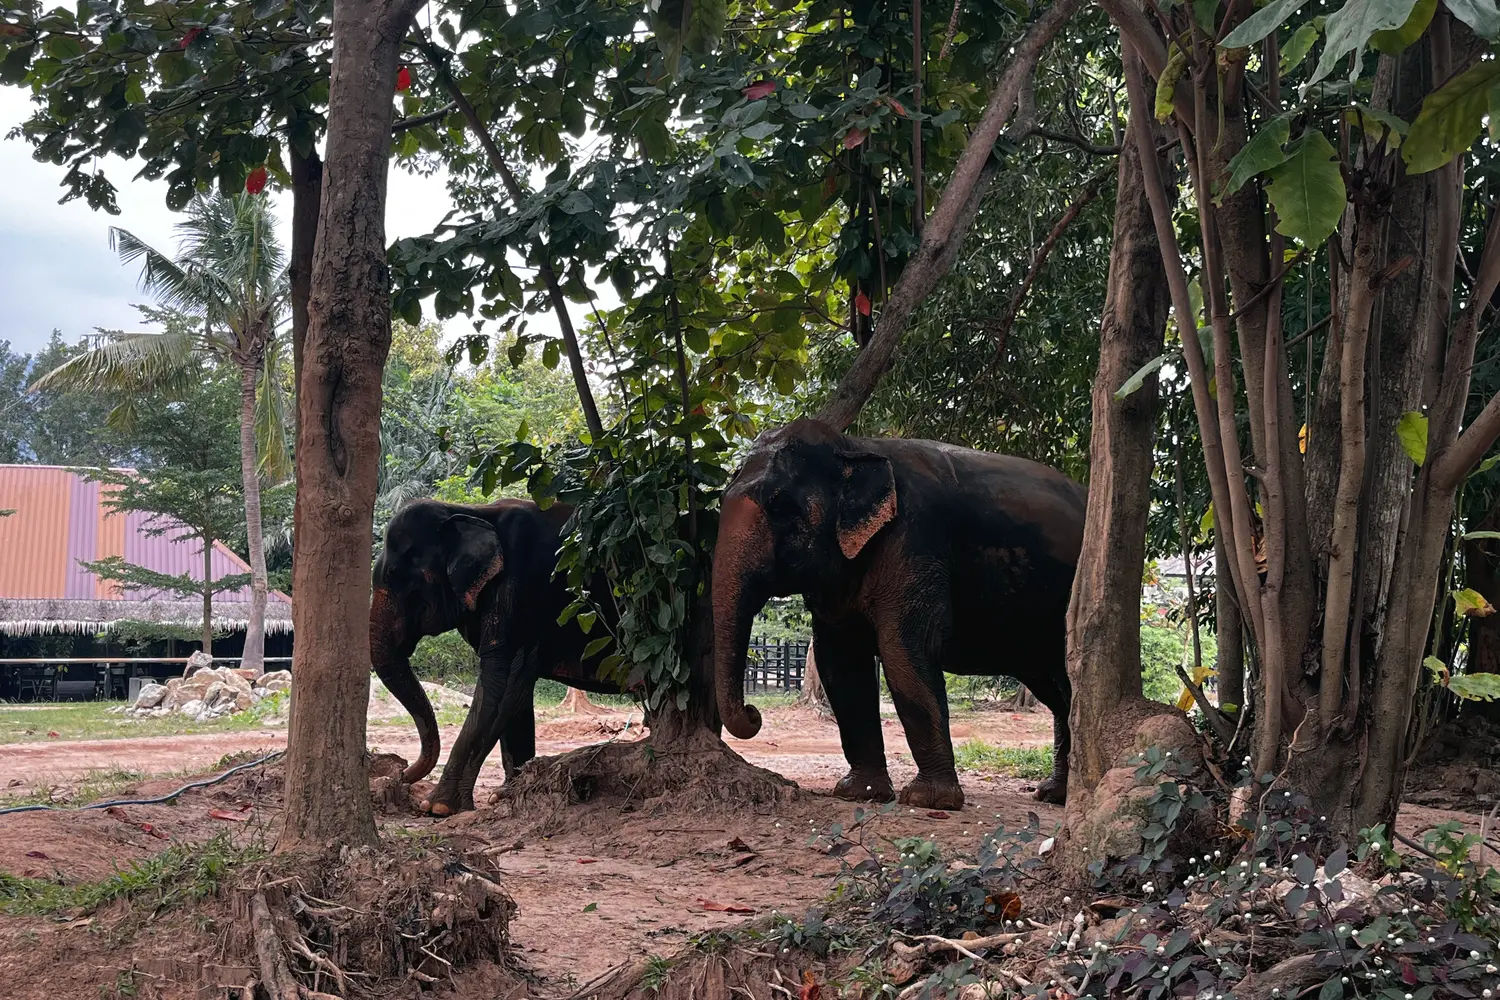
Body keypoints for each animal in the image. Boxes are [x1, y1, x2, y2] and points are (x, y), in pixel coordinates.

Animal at [370, 498, 622, 815]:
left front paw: (438, 806)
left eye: (396, 576)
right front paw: (505, 795)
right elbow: (515, 691)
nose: (400, 772)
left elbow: (502, 680)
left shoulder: (521, 588)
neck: (471, 512)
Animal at [712, 418, 1086, 809]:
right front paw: (860, 794)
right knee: (1058, 691)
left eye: (780, 507)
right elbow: (841, 662)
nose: (753, 714)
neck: (856, 446)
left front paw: (929, 800)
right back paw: (1054, 795)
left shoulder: (915, 538)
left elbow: (902, 650)